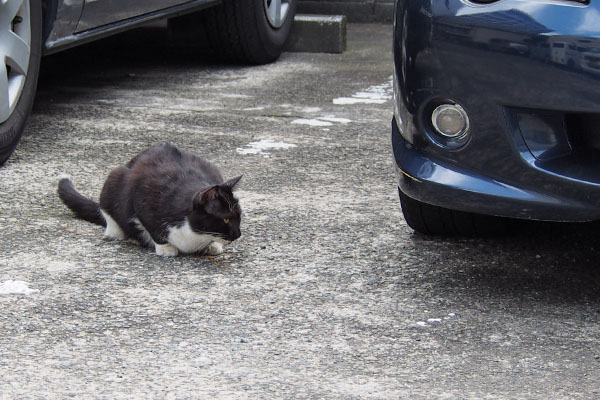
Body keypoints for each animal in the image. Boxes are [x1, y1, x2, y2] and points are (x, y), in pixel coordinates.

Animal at [58, 143, 241, 256]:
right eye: (225, 219)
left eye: (239, 217)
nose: (238, 234)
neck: (194, 234)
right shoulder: (142, 199)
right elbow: (152, 227)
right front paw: (165, 248)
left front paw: (212, 245)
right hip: (114, 178)